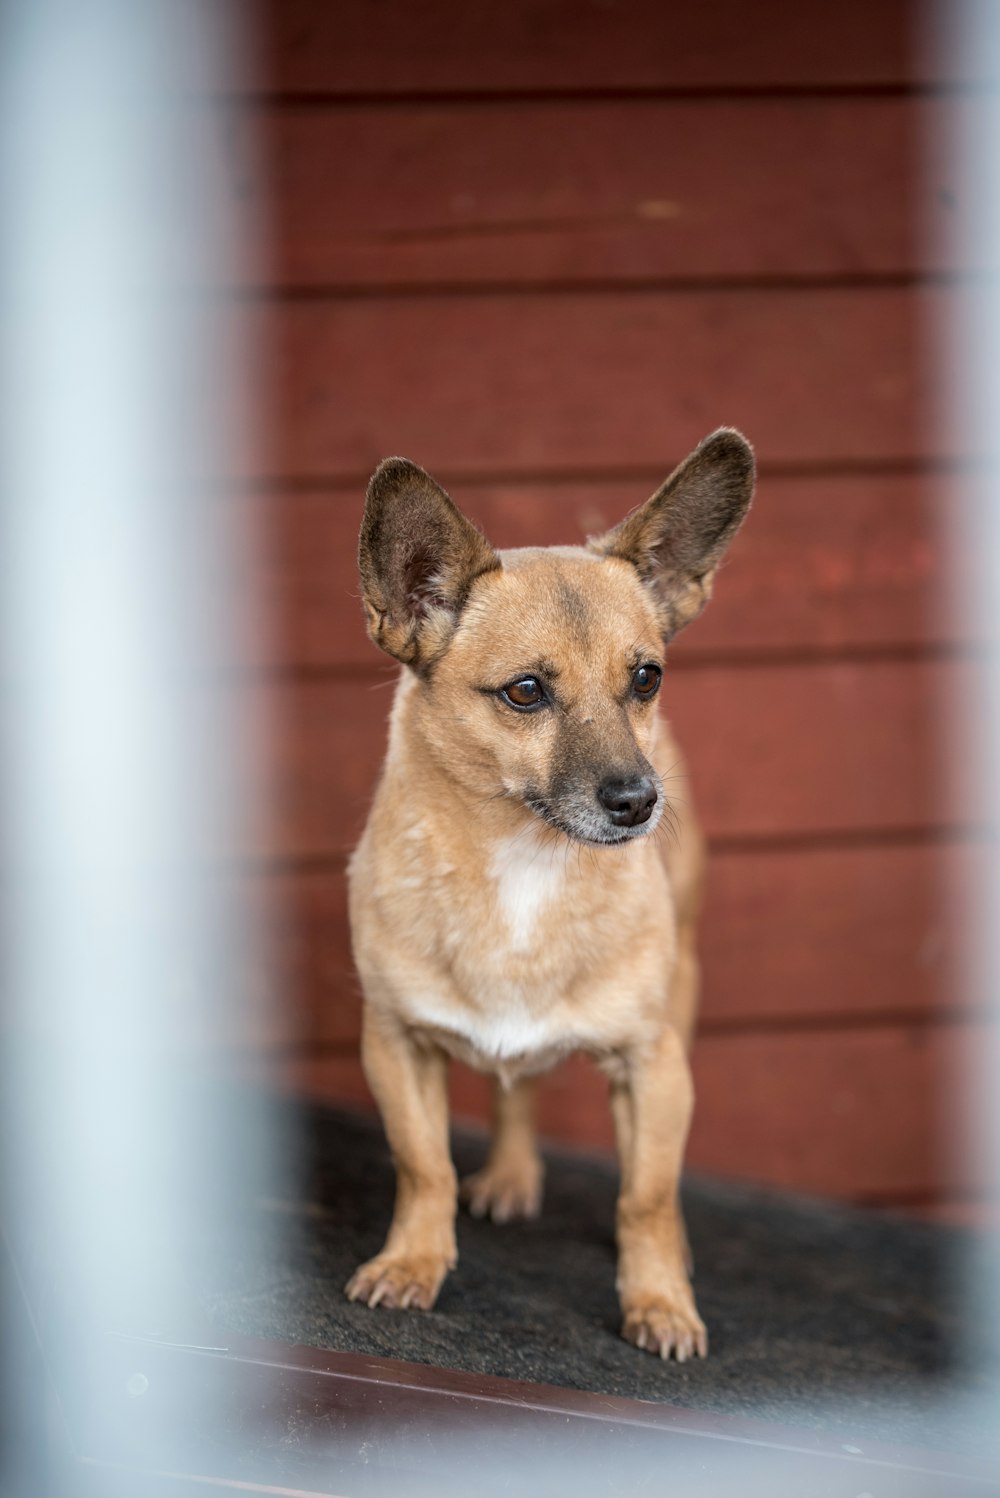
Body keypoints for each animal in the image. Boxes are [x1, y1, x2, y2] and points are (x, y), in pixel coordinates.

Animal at [344, 431, 748, 1360]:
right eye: (525, 691)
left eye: (647, 679)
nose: (639, 800)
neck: (526, 860)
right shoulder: (395, 1045)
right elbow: (424, 1166)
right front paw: (414, 1262)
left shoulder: (653, 1066)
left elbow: (645, 1197)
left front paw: (659, 1302)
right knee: (513, 1088)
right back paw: (511, 1172)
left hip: (684, 999)